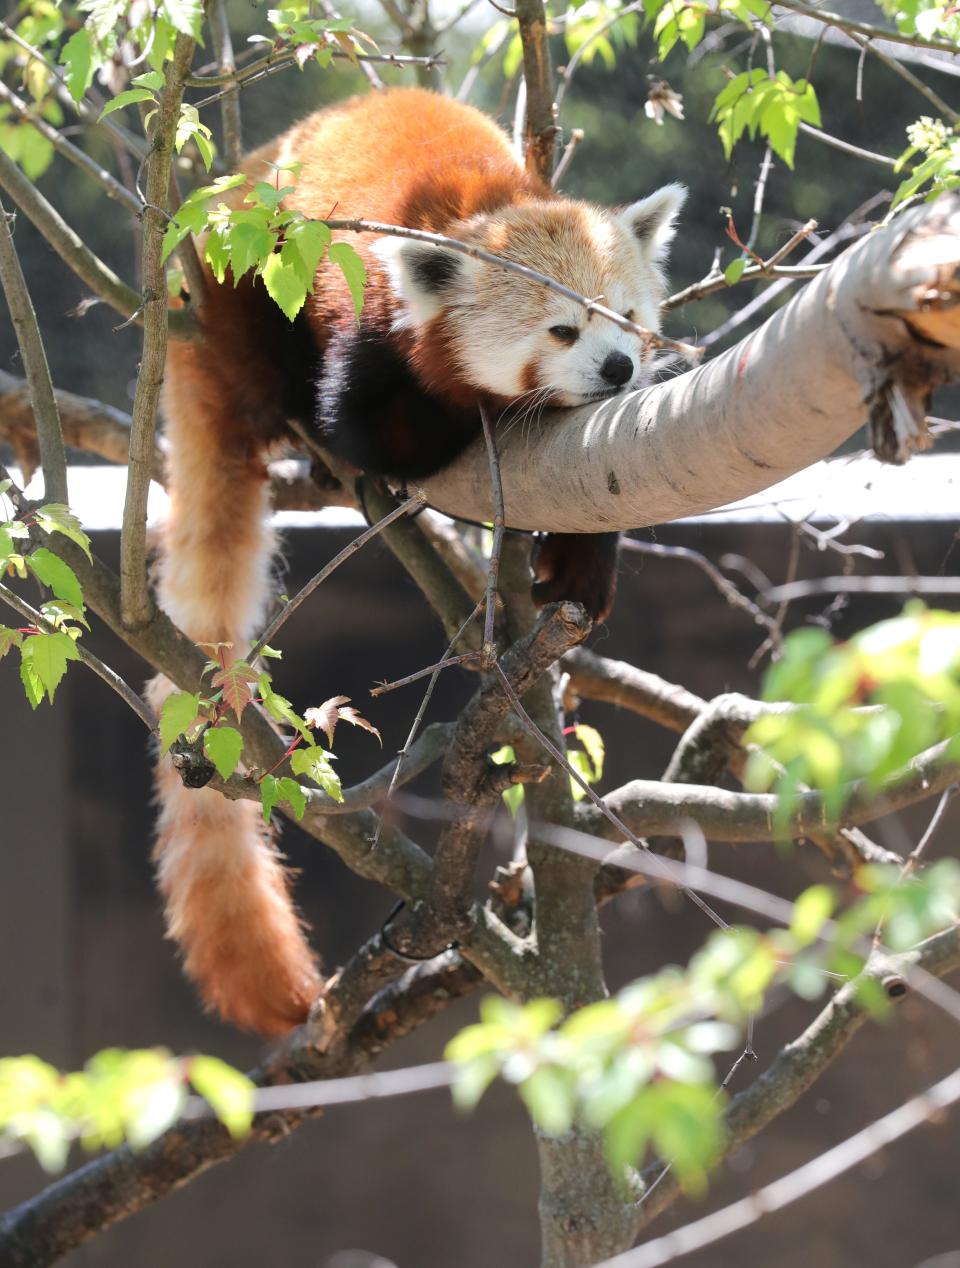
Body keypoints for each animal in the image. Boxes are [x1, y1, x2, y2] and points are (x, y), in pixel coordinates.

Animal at [147, 86, 679, 1029]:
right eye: (561, 327)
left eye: (626, 318)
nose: (618, 366)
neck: (486, 202)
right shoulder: (363, 324)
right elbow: (369, 423)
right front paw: (449, 431)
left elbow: (595, 486)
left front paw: (578, 572)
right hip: (236, 281)